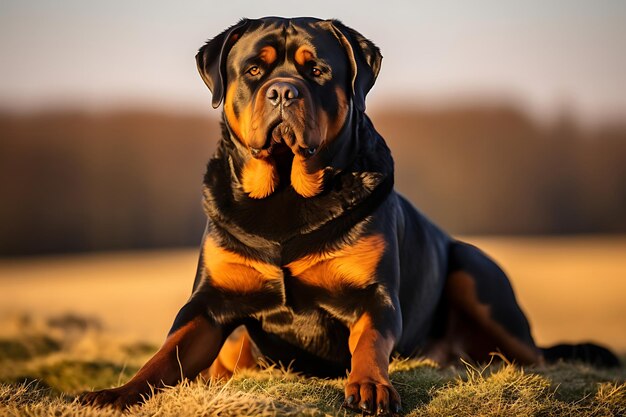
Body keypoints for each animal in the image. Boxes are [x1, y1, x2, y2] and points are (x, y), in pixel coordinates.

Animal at [80, 15, 616, 412]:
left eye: (317, 70)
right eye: (254, 70)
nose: (283, 91)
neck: (287, 194)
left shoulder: (373, 294)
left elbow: (371, 338)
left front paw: (370, 385)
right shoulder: (209, 303)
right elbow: (167, 353)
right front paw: (117, 393)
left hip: (475, 272)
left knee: (533, 354)